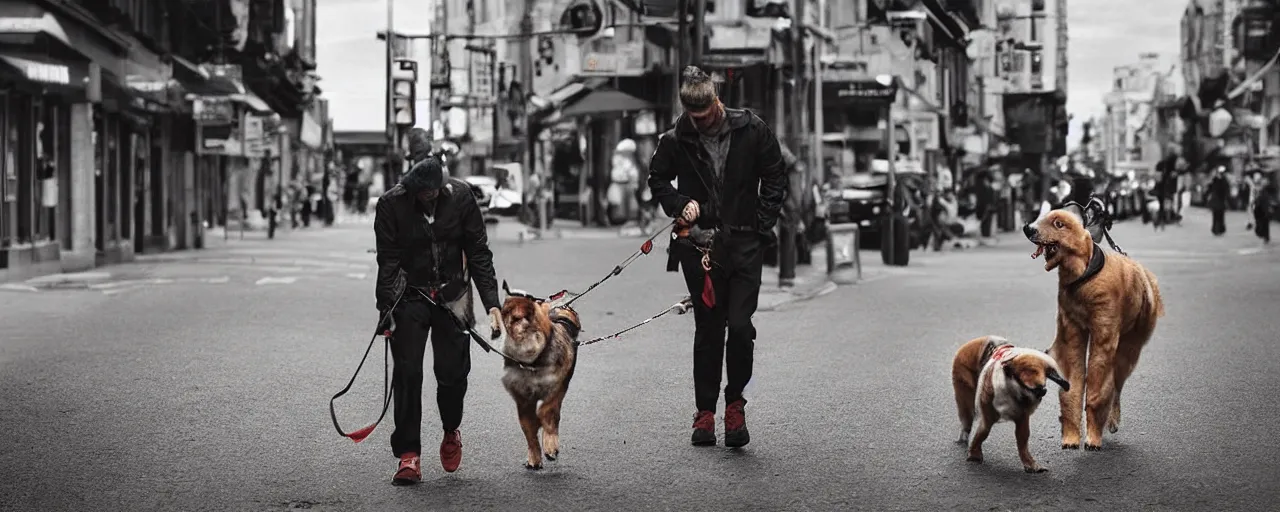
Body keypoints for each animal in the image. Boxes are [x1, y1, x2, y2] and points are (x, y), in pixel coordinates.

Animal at [494, 281, 586, 471]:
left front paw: (547, 446)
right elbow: (533, 428)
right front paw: (540, 453)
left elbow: (543, 416)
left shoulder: (552, 390)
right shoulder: (526, 400)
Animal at [952, 335, 1070, 471]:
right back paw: (965, 434)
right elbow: (983, 431)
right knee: (967, 416)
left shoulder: (1022, 416)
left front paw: (1031, 464)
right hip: (964, 385)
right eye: (1031, 388)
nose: (1042, 392)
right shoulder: (988, 412)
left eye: (1042, 389)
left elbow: (1023, 438)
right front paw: (974, 454)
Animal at [1024, 207, 1167, 448]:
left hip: (1130, 348)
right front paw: (1071, 436)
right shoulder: (1071, 331)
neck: (1083, 277)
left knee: (1117, 385)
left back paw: (1112, 420)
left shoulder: (1104, 335)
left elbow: (1098, 390)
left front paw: (1093, 436)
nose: (1027, 228)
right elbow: (1072, 386)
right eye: (1041, 217)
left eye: (1059, 224)